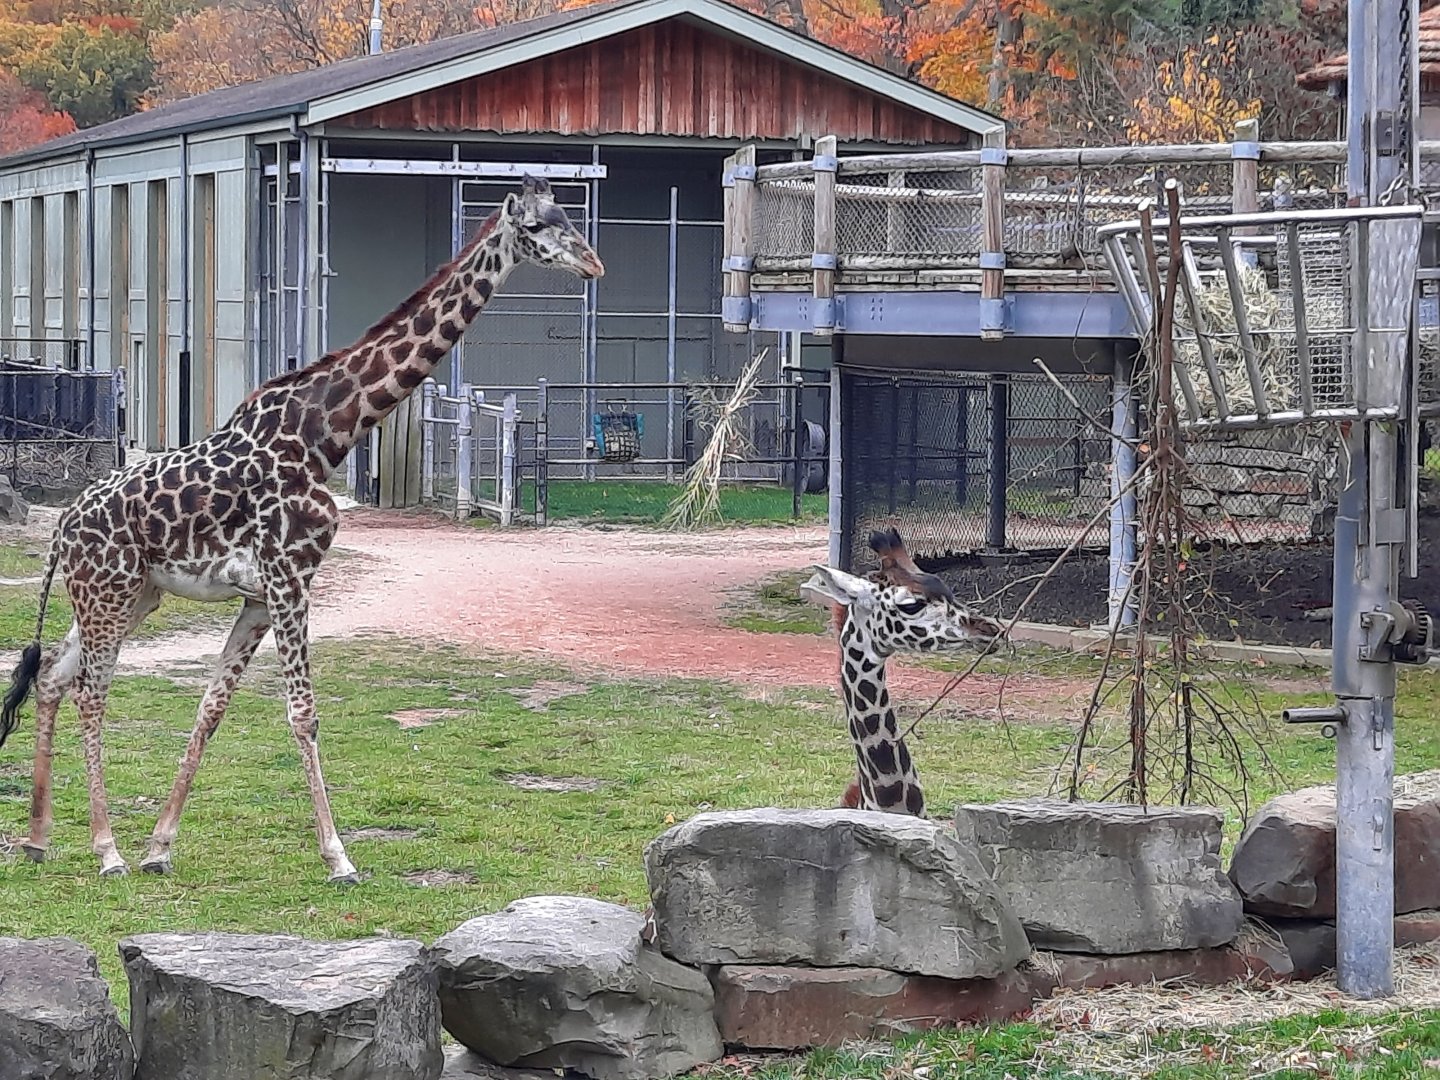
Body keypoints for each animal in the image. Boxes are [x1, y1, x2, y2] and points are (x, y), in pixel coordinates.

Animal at [0, 176, 603, 882]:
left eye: (570, 214)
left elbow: (212, 706)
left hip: (129, 595)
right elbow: (304, 715)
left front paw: (161, 847)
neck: (328, 434)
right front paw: (338, 856)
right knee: (91, 693)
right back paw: (105, 850)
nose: (593, 263)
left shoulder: (262, 595)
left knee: (51, 678)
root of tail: (63, 524)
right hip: (108, 591)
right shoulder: (291, 578)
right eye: (538, 225)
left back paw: (40, 839)